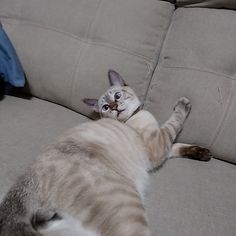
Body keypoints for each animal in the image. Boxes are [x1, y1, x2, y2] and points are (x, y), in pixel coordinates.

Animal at [0, 69, 212, 235]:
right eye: (106, 107)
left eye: (117, 96)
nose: (115, 108)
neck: (132, 118)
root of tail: (25, 182)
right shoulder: (158, 144)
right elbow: (175, 123)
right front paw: (183, 104)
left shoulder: (161, 145)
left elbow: (178, 145)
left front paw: (203, 153)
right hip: (128, 210)